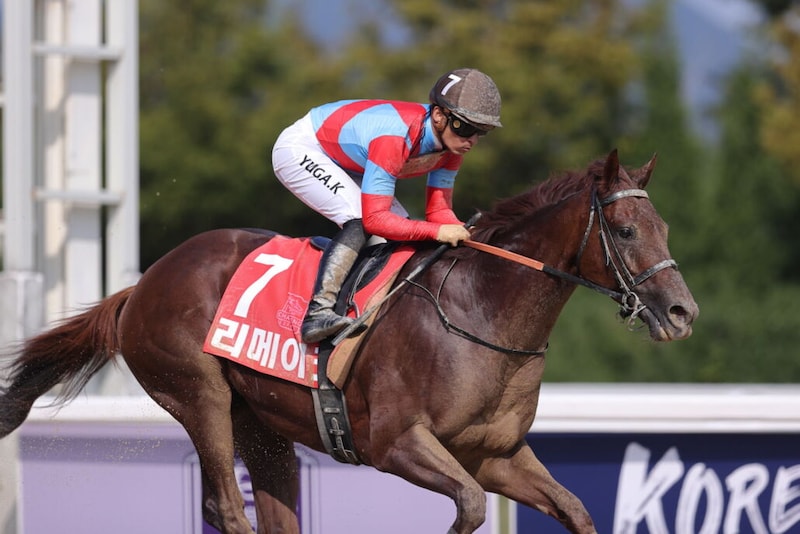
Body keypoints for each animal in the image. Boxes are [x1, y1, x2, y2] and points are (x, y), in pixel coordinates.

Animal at [0, 150, 698, 534]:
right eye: (627, 231)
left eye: (664, 226)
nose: (682, 312)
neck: (484, 312)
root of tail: (144, 282)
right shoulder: (396, 442)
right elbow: (470, 508)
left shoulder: (493, 455)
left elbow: (575, 510)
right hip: (200, 398)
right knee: (227, 507)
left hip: (263, 426)